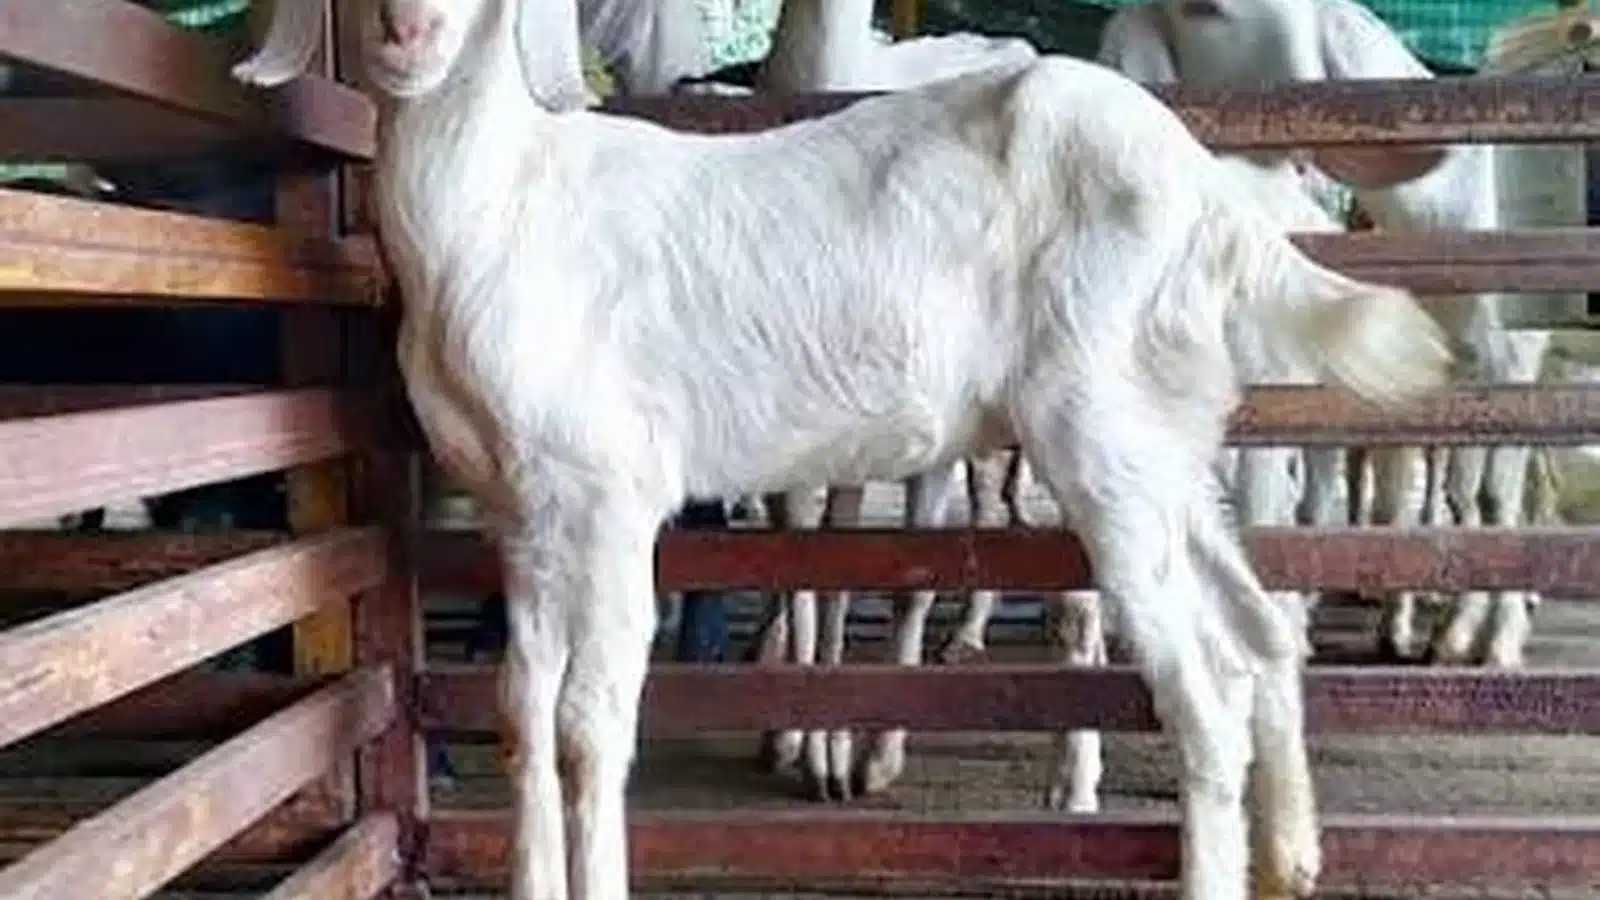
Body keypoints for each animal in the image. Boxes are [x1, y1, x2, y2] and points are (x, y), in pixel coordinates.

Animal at [235, 2, 1452, 898]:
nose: (406, 33)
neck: (505, 207)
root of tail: (1207, 193)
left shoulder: (614, 495)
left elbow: (590, 727)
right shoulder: (521, 515)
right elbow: (523, 719)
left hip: (1100, 430)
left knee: (1203, 685)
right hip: (1165, 439)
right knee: (1256, 634)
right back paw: (1292, 857)